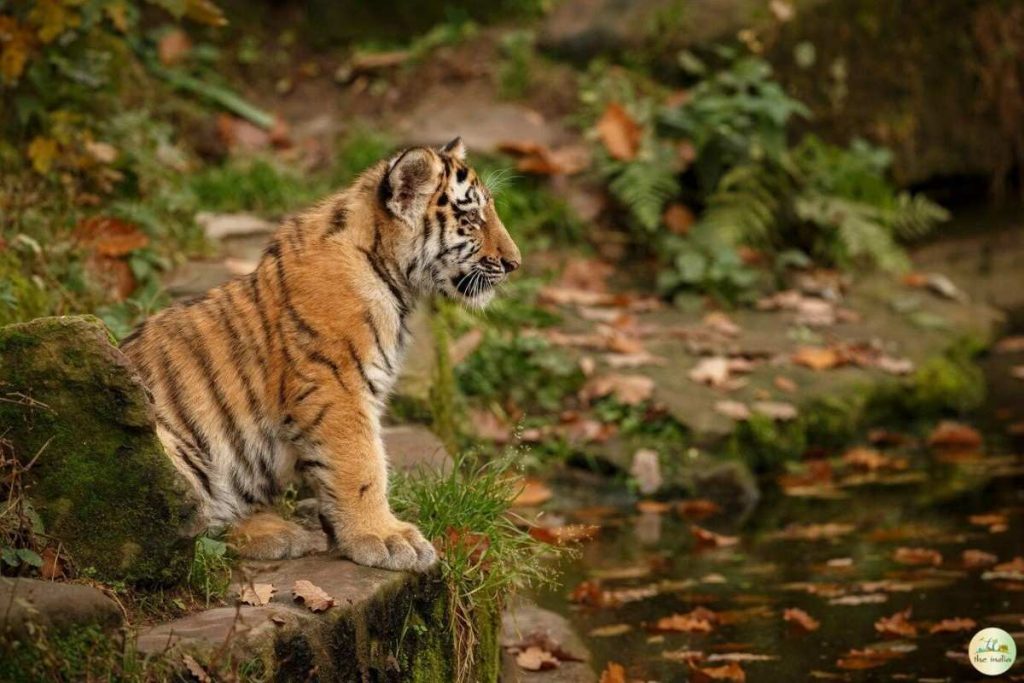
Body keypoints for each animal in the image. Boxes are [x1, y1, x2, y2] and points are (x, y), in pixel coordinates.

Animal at [120, 137, 520, 572]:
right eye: (473, 218)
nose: (515, 263)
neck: (391, 272)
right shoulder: (336, 387)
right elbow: (362, 464)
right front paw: (384, 536)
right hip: (160, 441)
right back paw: (279, 533)